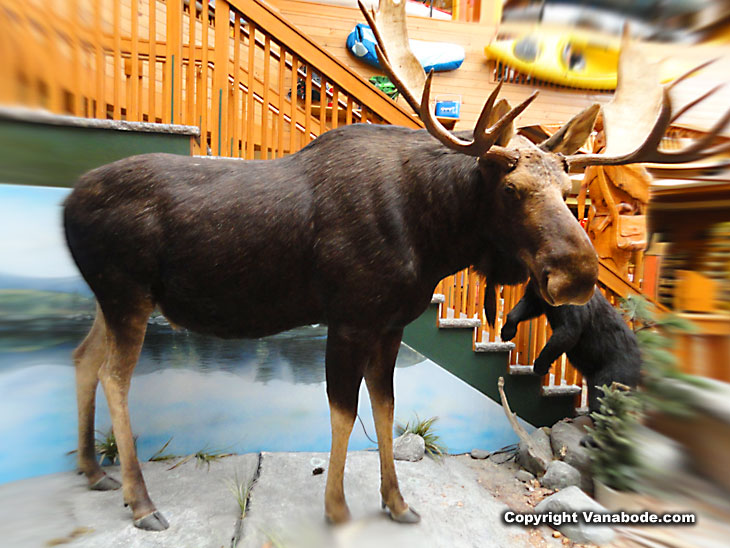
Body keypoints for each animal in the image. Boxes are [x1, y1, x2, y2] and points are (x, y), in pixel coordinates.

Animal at [62, 0, 730, 530]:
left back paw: (94, 472)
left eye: (571, 190)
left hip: (108, 297)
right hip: (128, 293)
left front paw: (397, 502)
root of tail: (67, 203)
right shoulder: (349, 318)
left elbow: (384, 408)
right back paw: (141, 502)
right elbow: (344, 411)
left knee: (83, 356)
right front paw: (337, 508)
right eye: (512, 188)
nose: (578, 274)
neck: (433, 237)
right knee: (116, 377)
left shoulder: (390, 325)